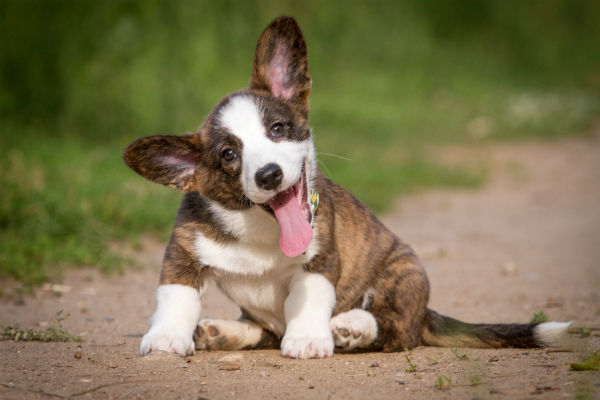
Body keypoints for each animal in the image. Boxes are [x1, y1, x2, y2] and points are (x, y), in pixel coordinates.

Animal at [124, 16, 568, 360]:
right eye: (229, 155)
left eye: (278, 129)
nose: (268, 175)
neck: (260, 230)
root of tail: (425, 311)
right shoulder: (182, 251)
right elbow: (176, 296)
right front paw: (167, 337)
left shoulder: (320, 259)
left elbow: (309, 298)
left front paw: (306, 339)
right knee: (264, 330)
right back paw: (223, 331)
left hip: (401, 271)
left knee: (396, 330)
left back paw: (352, 325)